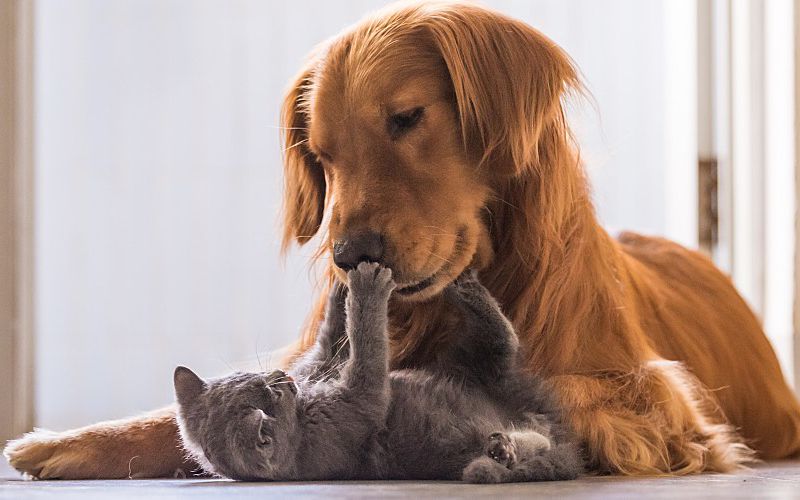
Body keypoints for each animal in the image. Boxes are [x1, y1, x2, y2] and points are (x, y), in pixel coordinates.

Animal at [173, 264, 580, 482]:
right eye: (269, 401)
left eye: (255, 381)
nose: (281, 380)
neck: (303, 416)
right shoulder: (353, 408)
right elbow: (367, 348)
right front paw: (366, 285)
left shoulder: (318, 369)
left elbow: (330, 342)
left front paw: (339, 286)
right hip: (487, 374)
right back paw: (503, 447)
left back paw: (462, 284)